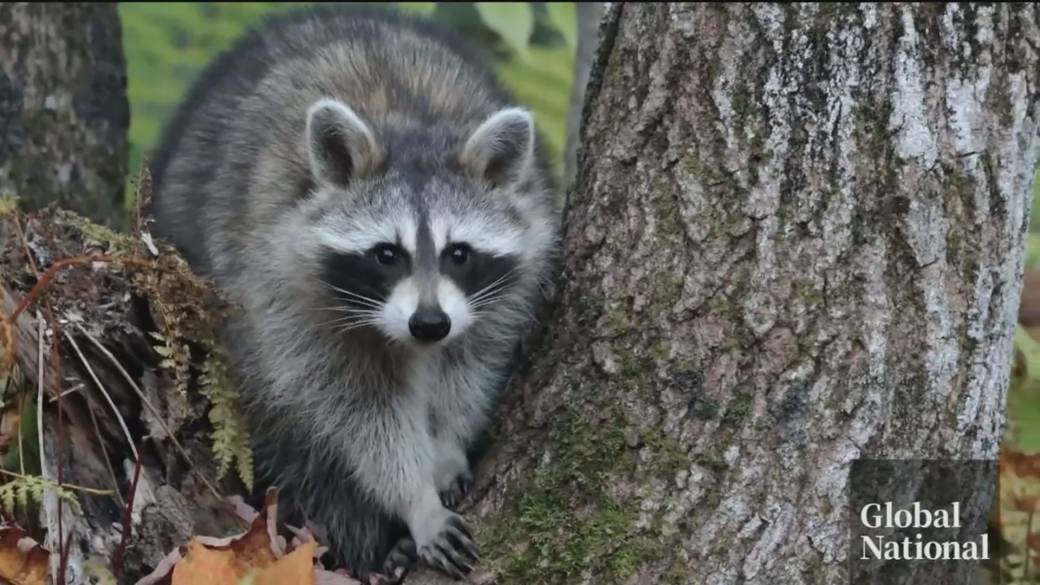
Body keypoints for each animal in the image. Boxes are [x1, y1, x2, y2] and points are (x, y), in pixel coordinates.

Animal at [148, 5, 560, 580]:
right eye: (387, 254)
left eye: (458, 253)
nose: (429, 324)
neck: (406, 121)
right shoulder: (285, 296)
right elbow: (358, 411)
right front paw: (415, 500)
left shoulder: (503, 288)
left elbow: (472, 365)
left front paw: (447, 445)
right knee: (297, 449)